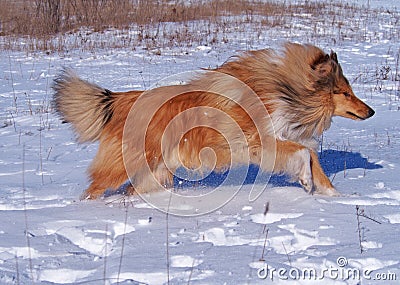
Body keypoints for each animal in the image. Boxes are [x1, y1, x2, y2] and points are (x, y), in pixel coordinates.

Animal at [53, 42, 376, 197]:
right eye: (344, 92)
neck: (284, 92)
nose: (371, 112)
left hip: (156, 169)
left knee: (132, 190)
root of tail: (122, 99)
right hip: (125, 165)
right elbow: (304, 153)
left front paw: (333, 195)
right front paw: (308, 182)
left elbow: (311, 156)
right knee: (94, 188)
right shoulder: (261, 141)